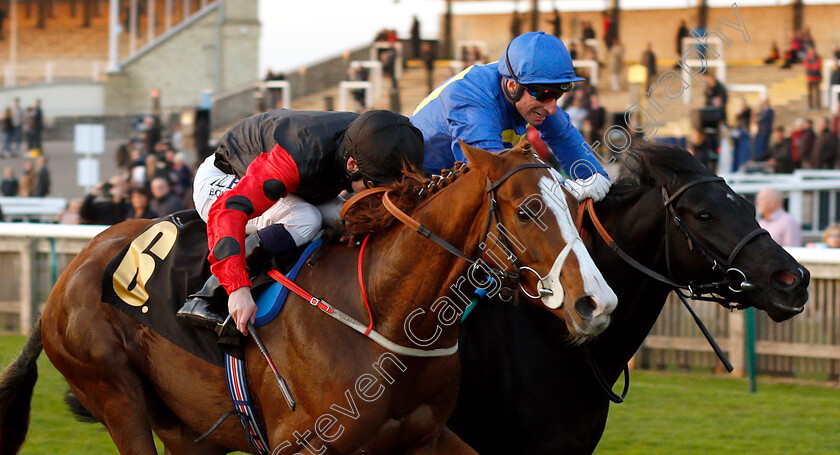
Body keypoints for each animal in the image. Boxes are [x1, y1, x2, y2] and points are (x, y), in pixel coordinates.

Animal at [0, 143, 616, 455]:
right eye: (528, 211)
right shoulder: (304, 447)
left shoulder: (425, 437)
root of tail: (73, 269)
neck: (383, 318)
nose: (598, 304)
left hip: (184, 427)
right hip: (116, 394)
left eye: (572, 201)